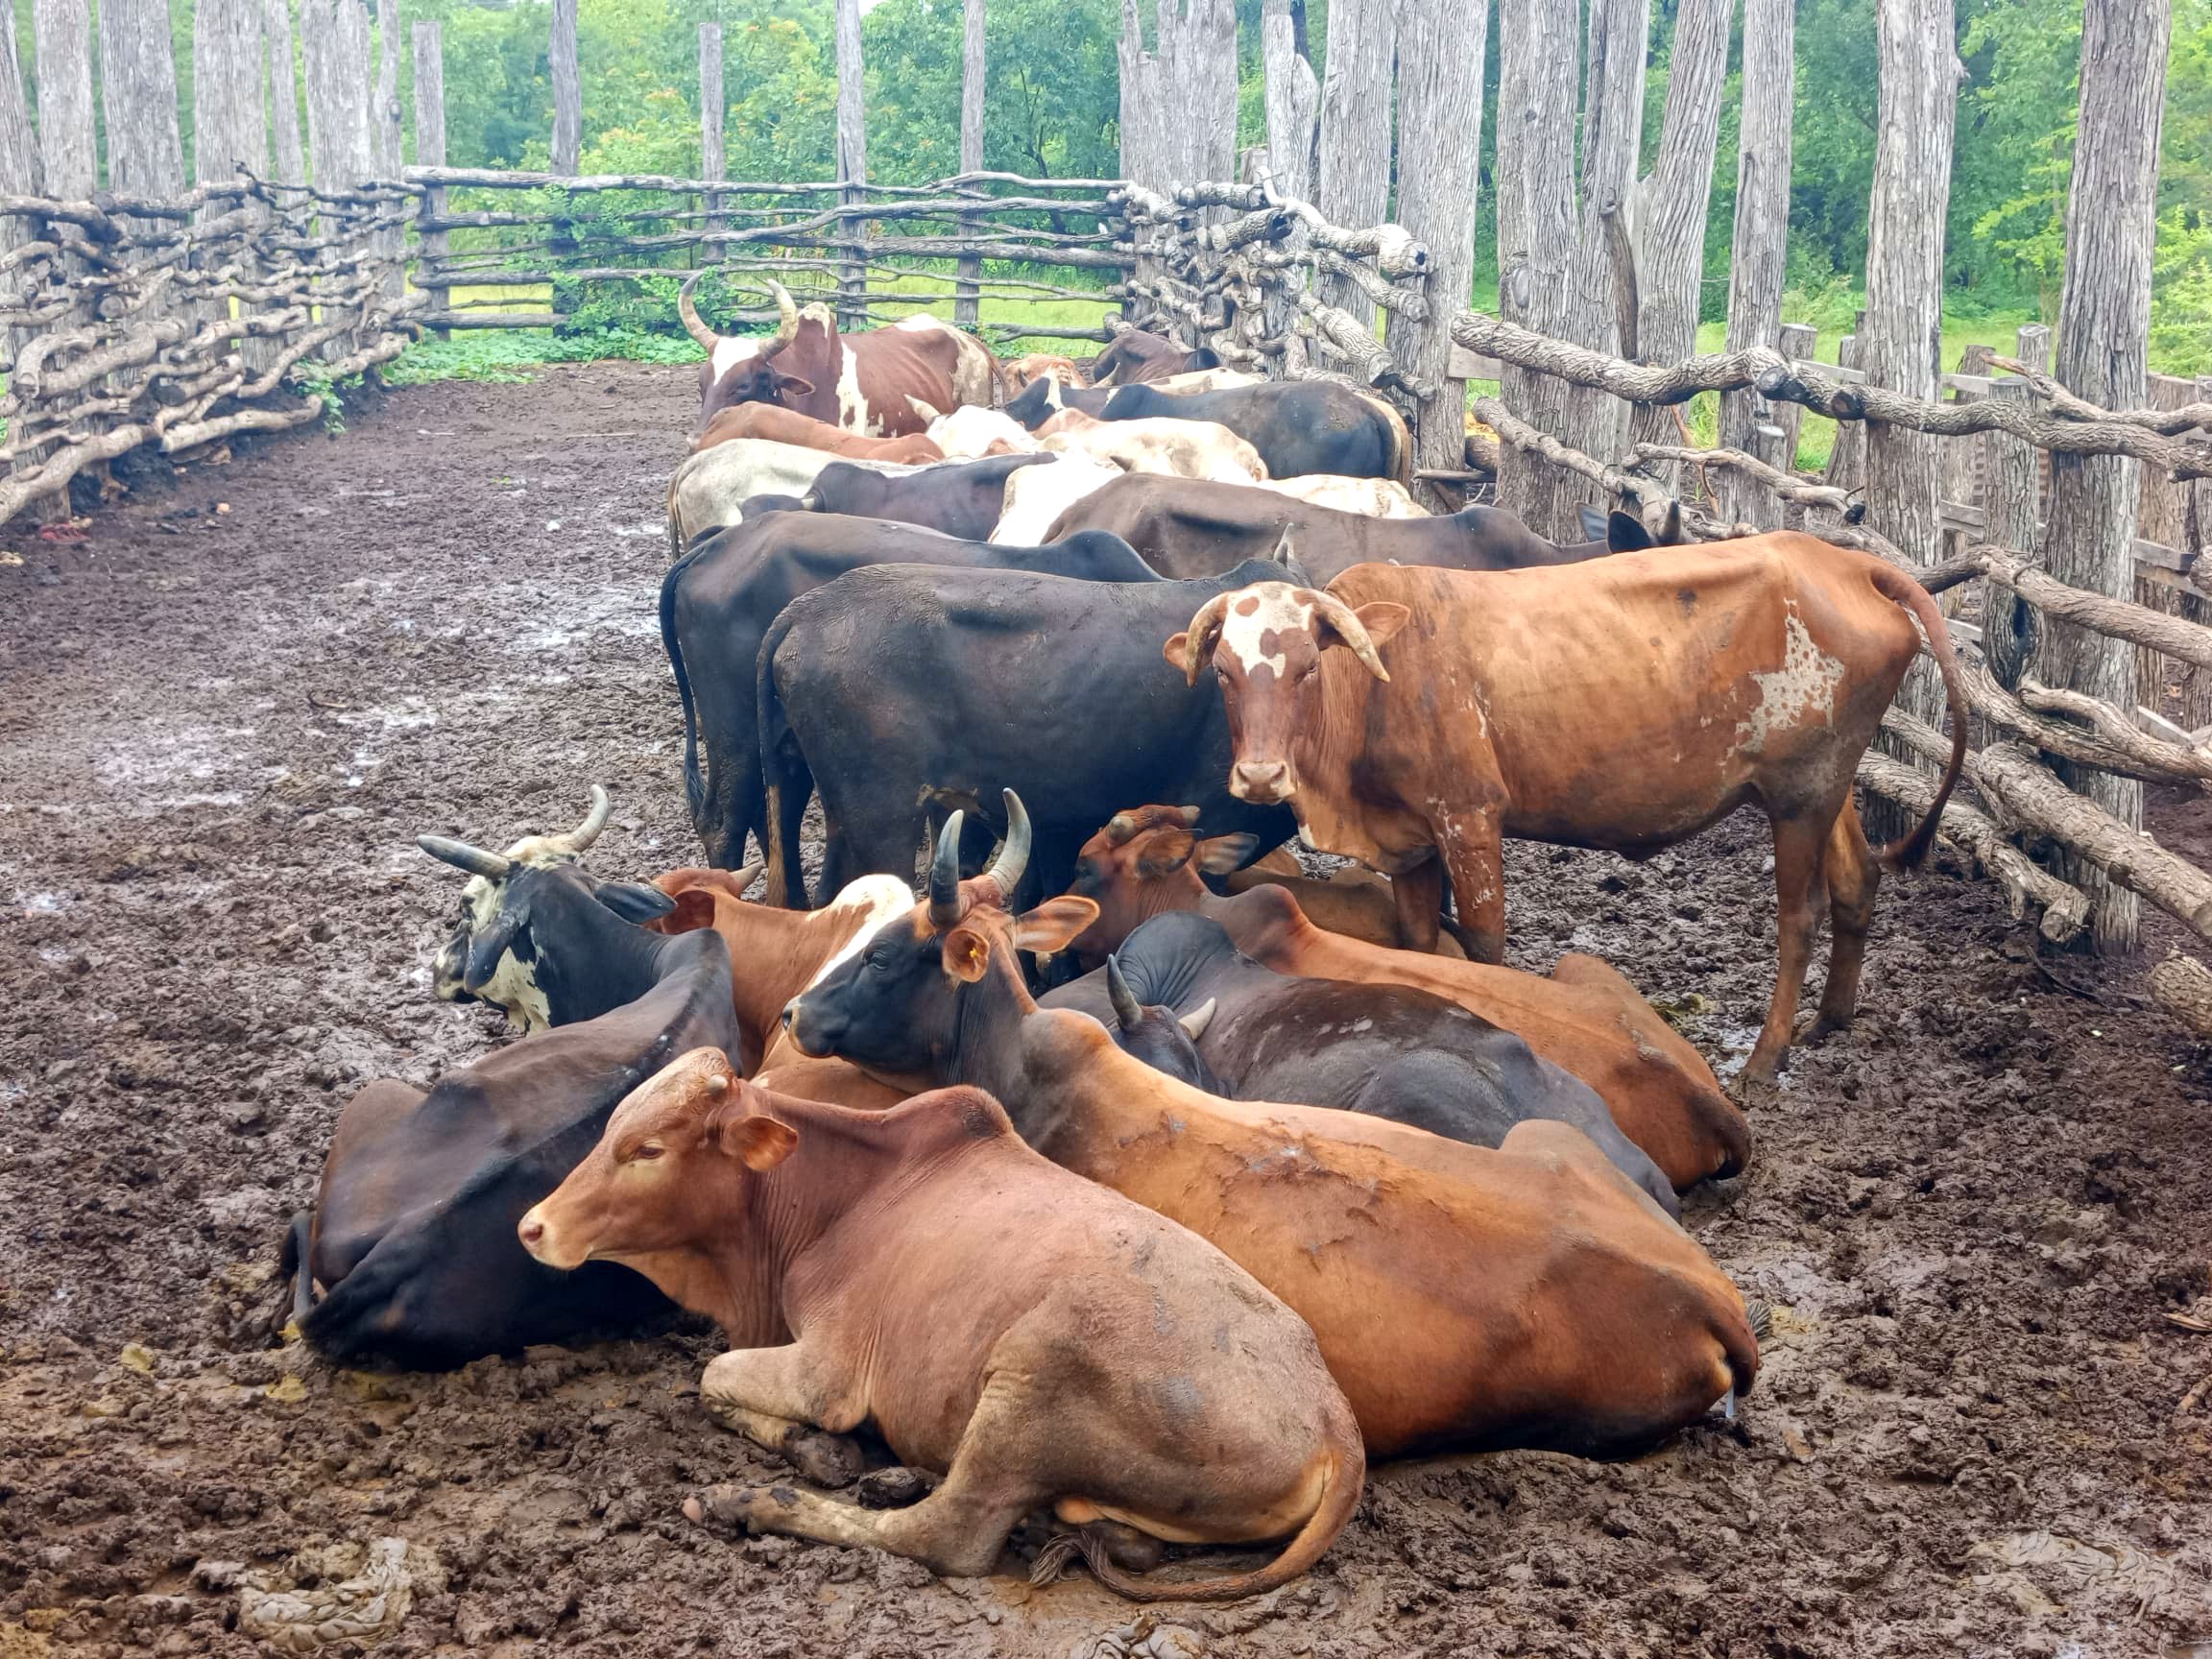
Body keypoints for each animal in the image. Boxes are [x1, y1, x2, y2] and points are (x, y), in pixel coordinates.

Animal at [520, 1052, 1364, 1597]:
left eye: (648, 1147)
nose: (533, 1227)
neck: (833, 1199)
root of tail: (1335, 1421)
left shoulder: (829, 1372)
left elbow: (711, 1376)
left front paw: (813, 1453)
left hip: (1032, 1375)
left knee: (945, 1535)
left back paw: (751, 1502)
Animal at [1166, 537, 1971, 1088]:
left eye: (1307, 665)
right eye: (1225, 672)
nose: (1260, 775)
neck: (1375, 690)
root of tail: (1845, 561)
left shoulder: (1468, 818)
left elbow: (1484, 943)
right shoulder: (1415, 841)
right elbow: (1418, 942)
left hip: (1800, 797)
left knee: (1799, 919)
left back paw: (1765, 1060)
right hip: (1825, 787)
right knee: (1857, 881)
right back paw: (1831, 1018)